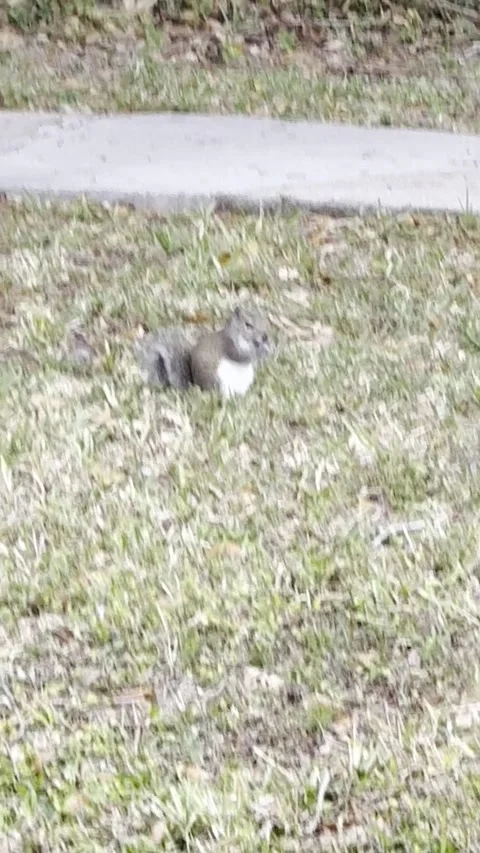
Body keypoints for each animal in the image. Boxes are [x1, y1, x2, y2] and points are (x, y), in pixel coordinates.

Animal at [136, 305, 271, 399]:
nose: (265, 336)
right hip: (219, 381)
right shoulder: (228, 345)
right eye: (248, 325)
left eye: (264, 320)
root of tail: (198, 387)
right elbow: (241, 356)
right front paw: (262, 352)